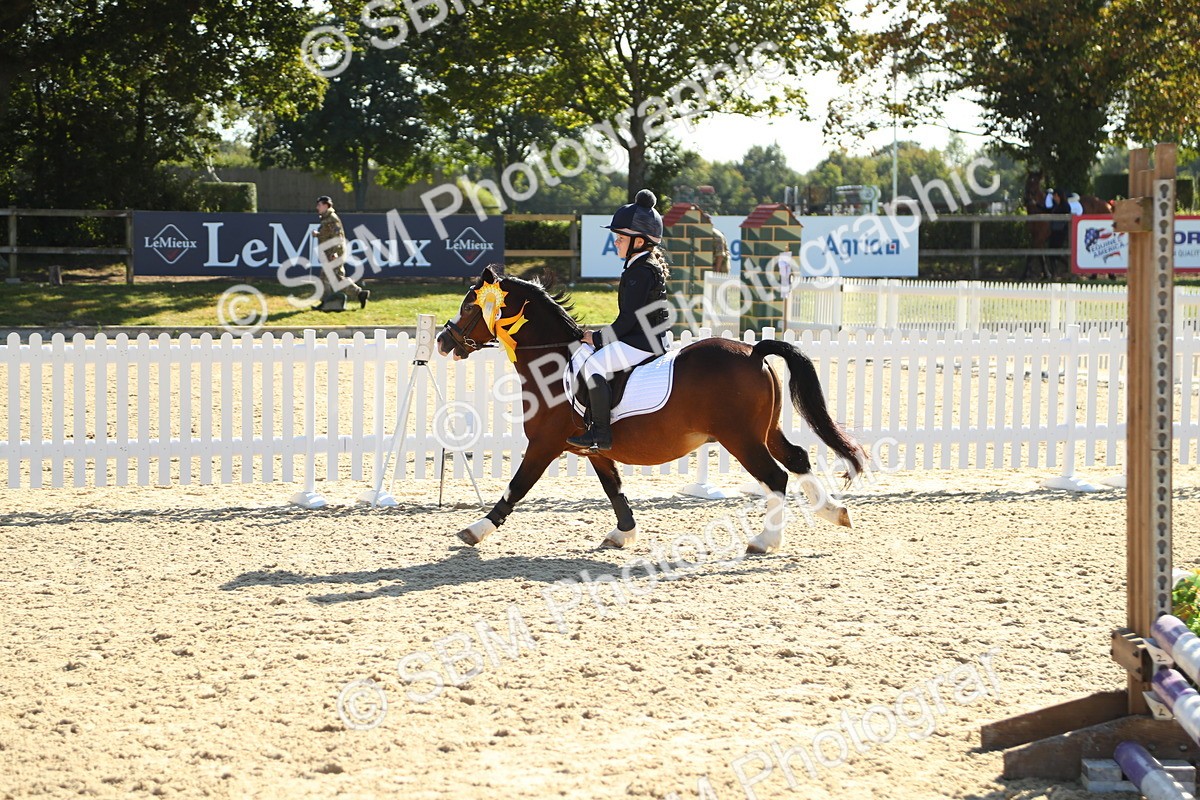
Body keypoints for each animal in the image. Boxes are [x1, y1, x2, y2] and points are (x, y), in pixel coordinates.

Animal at [436, 265, 865, 555]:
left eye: (469, 306)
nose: (443, 340)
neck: (553, 362)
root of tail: (754, 350)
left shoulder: (544, 444)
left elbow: (517, 487)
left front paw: (475, 530)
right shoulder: (593, 449)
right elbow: (614, 490)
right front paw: (623, 533)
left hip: (740, 438)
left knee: (776, 476)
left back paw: (765, 540)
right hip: (765, 431)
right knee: (798, 457)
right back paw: (833, 512)